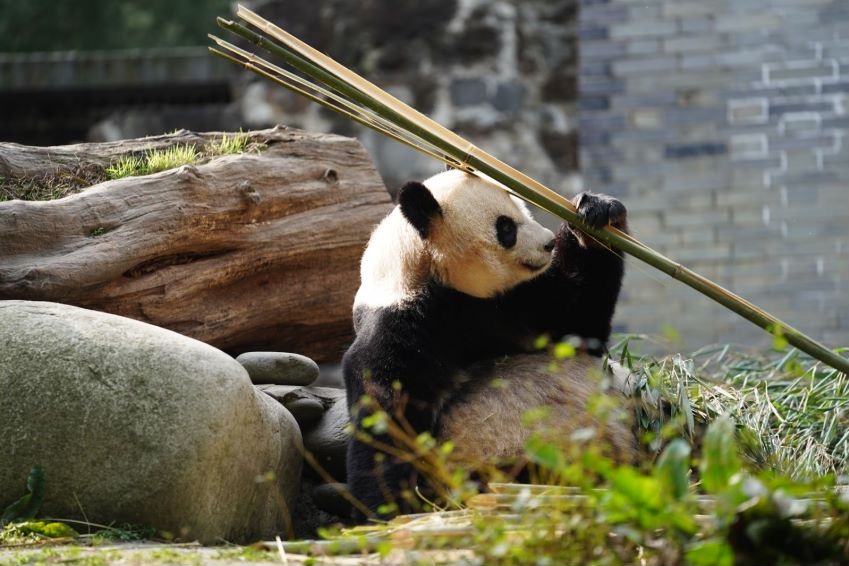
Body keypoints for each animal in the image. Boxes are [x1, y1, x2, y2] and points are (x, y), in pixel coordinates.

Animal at [342, 170, 628, 524]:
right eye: (506, 227)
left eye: (523, 206)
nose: (548, 242)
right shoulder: (401, 326)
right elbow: (389, 418)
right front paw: (387, 511)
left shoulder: (516, 303)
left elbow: (580, 325)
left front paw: (597, 213)